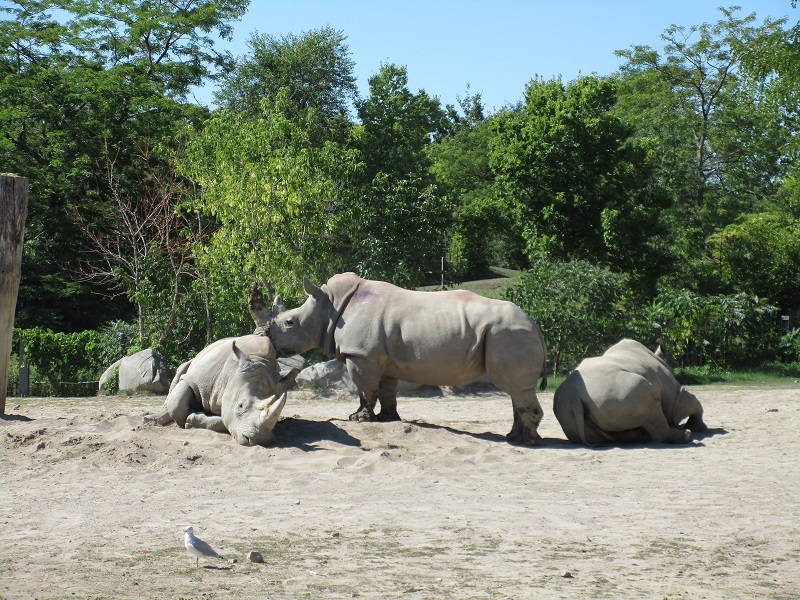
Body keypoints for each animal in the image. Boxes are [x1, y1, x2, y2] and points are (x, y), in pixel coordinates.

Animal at [150, 332, 296, 446]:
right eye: (240, 405)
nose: (260, 440)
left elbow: (226, 420)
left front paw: (193, 419)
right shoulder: (194, 379)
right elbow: (177, 405)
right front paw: (192, 413)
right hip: (194, 361)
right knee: (180, 373)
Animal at [252, 272, 552, 446]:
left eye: (289, 322)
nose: (262, 338)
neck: (328, 306)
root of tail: (535, 324)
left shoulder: (361, 355)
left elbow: (364, 389)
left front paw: (358, 419)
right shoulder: (382, 358)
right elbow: (386, 390)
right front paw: (388, 419)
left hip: (509, 333)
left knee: (516, 387)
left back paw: (528, 442)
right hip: (509, 333)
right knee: (515, 390)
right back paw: (514, 437)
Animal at [552, 338, 708, 446]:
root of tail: (574, 398)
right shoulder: (674, 395)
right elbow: (688, 401)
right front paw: (699, 428)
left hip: (574, 411)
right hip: (620, 392)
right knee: (653, 412)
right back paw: (686, 435)